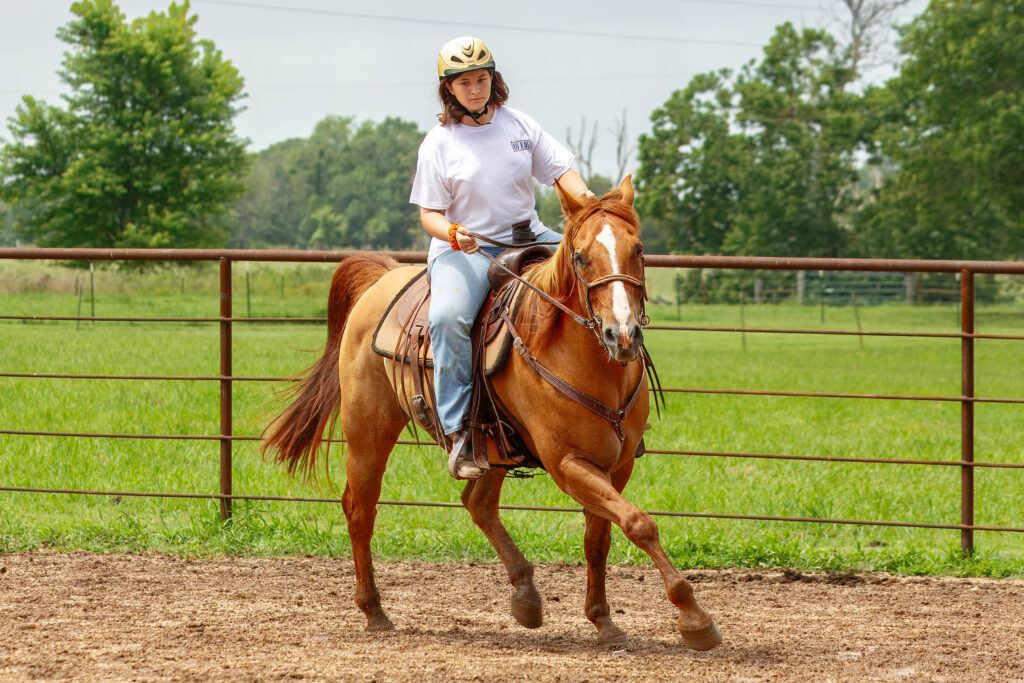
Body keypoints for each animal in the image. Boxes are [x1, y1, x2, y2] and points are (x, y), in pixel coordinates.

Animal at [262, 176, 721, 650]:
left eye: (639, 249)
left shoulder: (618, 463)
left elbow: (600, 537)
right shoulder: (568, 464)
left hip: (493, 446)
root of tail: (384, 277)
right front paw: (694, 617)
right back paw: (375, 611)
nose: (623, 334)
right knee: (360, 509)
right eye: (580, 256)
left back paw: (525, 595)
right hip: (368, 432)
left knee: (477, 502)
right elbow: (638, 522)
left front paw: (604, 621)